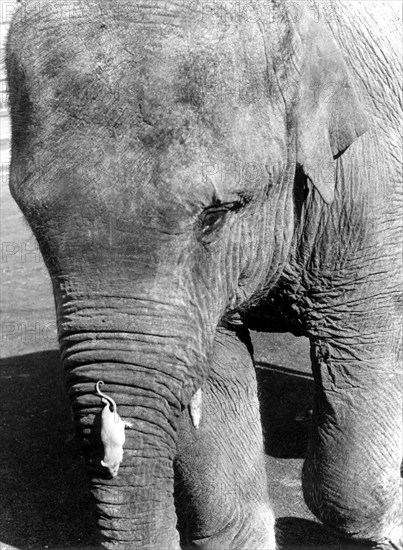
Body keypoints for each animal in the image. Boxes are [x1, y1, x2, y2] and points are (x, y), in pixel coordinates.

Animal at [4, 0, 402, 548]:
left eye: (216, 214)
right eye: (31, 220)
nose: (109, 412)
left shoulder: (368, 193)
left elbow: (359, 350)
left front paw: (392, 529)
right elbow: (216, 372)